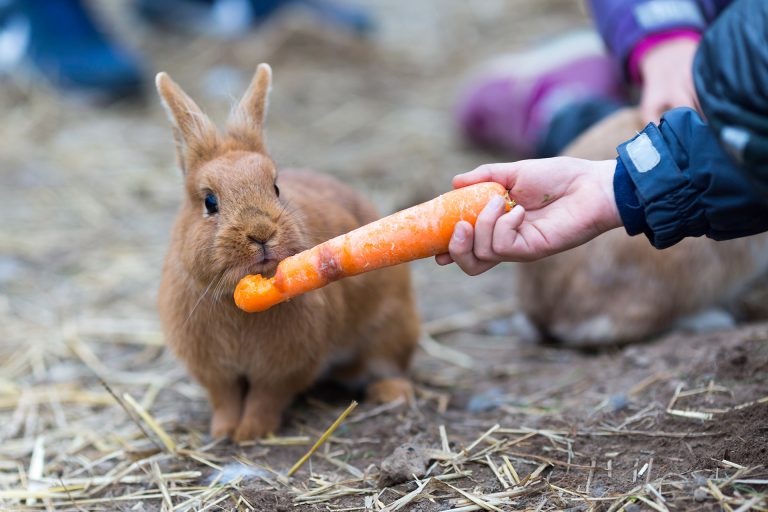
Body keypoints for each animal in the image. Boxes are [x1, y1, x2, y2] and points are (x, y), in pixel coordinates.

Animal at [156, 64, 420, 441]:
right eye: (209, 202)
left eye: (276, 187)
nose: (261, 233)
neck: (239, 299)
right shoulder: (215, 372)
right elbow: (226, 398)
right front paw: (224, 431)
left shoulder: (284, 369)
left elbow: (265, 398)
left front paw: (251, 432)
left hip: (391, 327)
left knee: (388, 364)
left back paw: (391, 393)